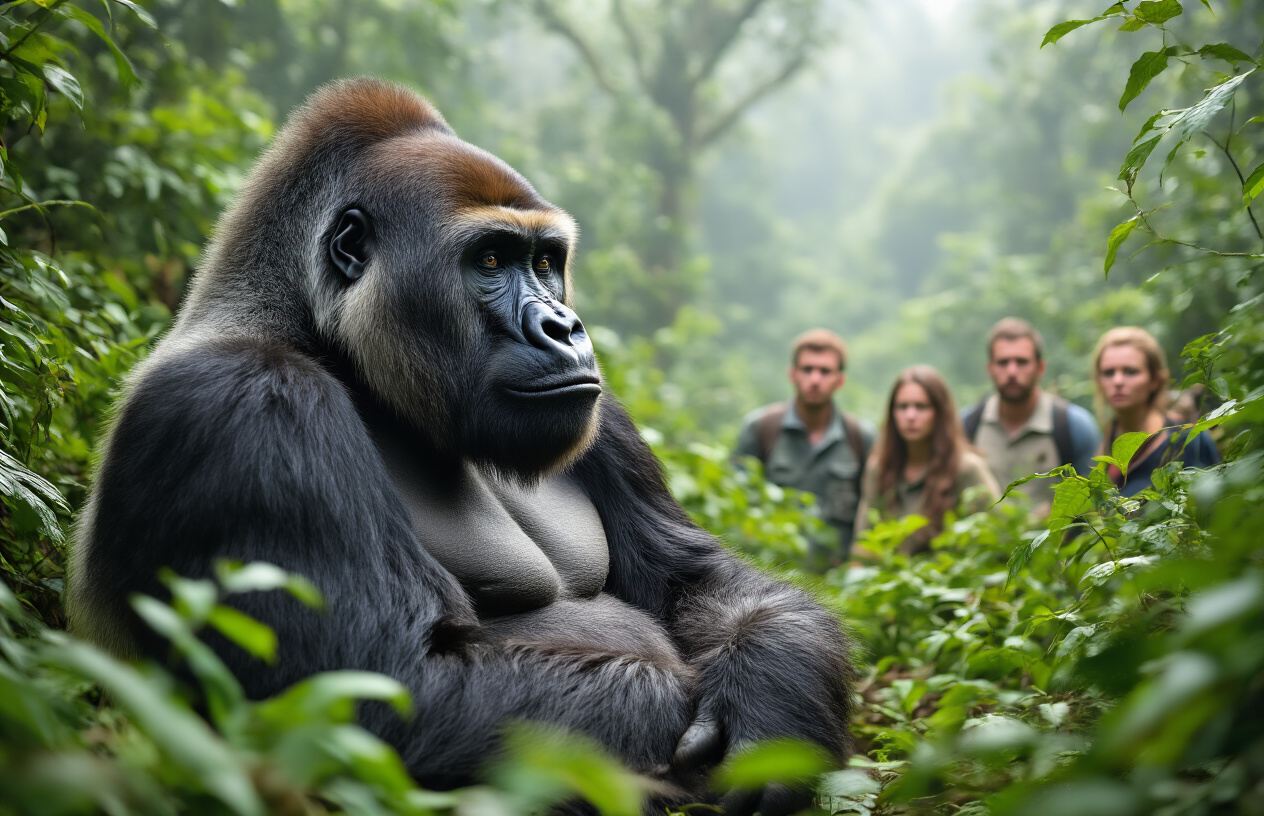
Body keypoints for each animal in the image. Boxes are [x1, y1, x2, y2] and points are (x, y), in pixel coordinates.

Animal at [68, 78, 855, 814]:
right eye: (491, 259)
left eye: (546, 261)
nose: (564, 327)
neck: (318, 335)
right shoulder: (246, 405)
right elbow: (384, 690)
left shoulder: (605, 416)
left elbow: (703, 582)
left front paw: (770, 699)